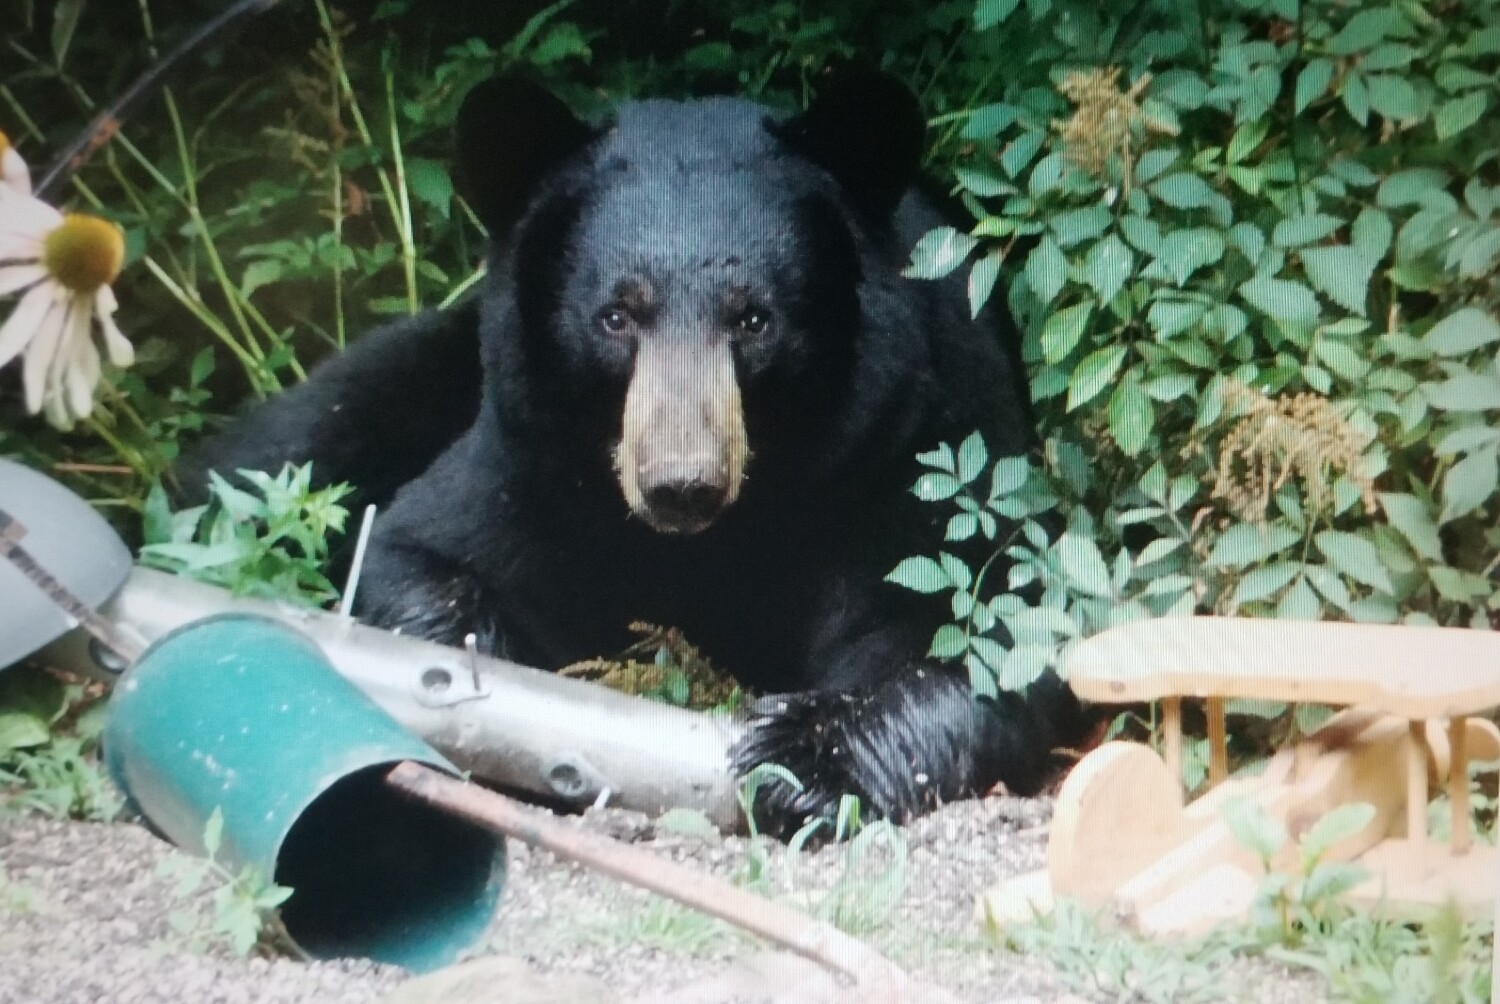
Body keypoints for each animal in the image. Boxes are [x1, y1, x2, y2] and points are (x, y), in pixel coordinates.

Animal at [180, 69, 1089, 833]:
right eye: (615, 316)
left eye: (754, 318)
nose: (681, 484)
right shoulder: (531, 461)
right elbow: (417, 551)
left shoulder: (917, 448)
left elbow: (973, 626)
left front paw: (802, 756)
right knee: (289, 445)